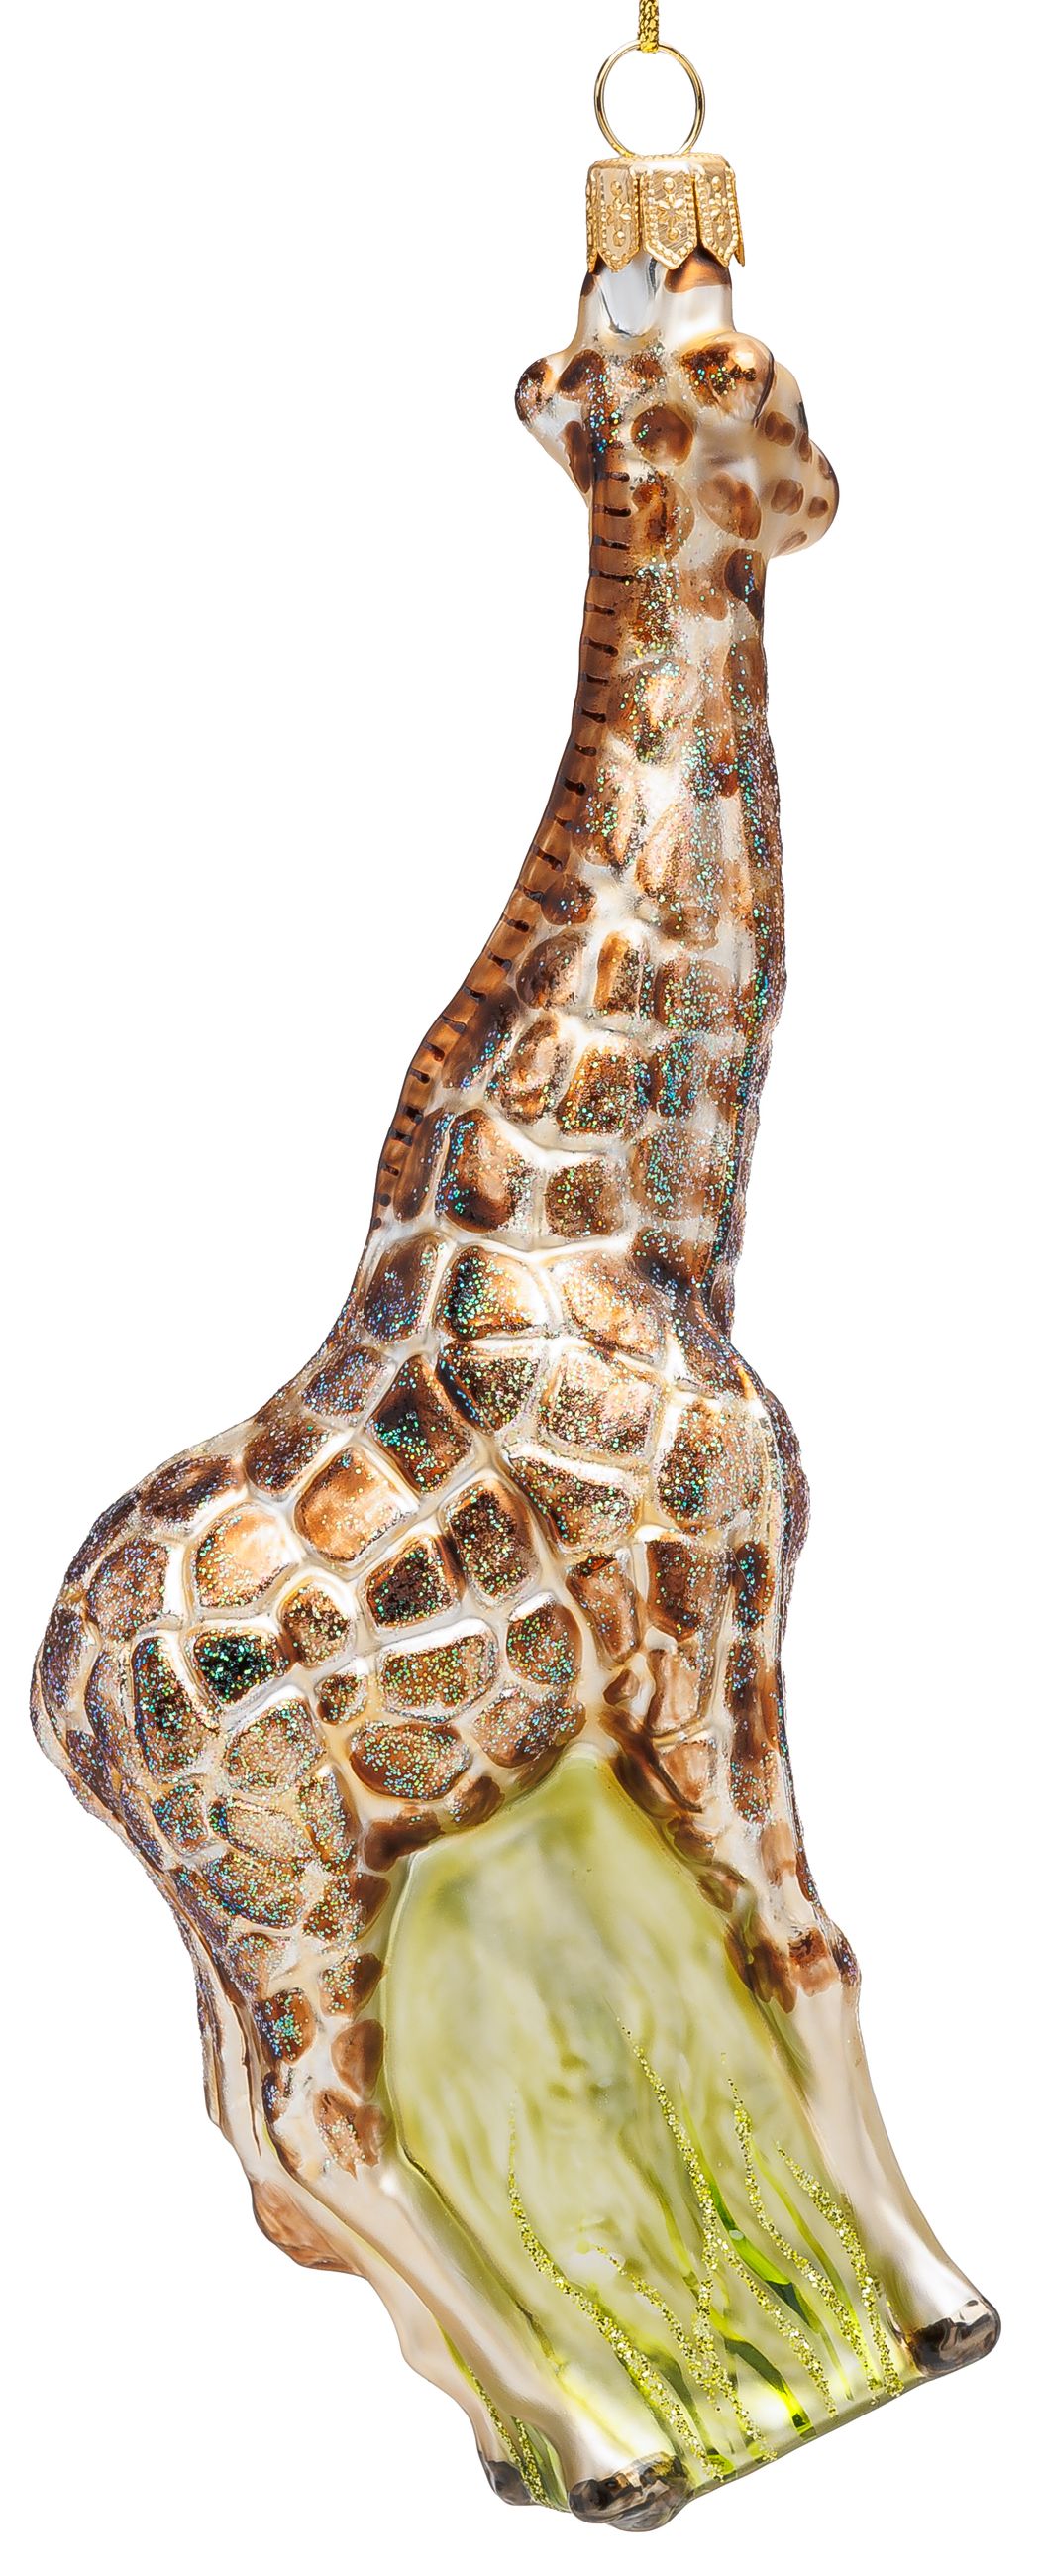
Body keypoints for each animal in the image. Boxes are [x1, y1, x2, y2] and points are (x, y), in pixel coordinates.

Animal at [31, 155, 998, 2529]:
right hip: (285, 1890)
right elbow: (798, 1945)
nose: (827, 492)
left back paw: (519, 2439)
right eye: (760, 386)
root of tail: (55, 1717)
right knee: (315, 2126)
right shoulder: (710, 1621)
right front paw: (939, 2313)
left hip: (247, 1910)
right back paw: (613, 2442)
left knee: (252, 2138)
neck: (641, 1217)